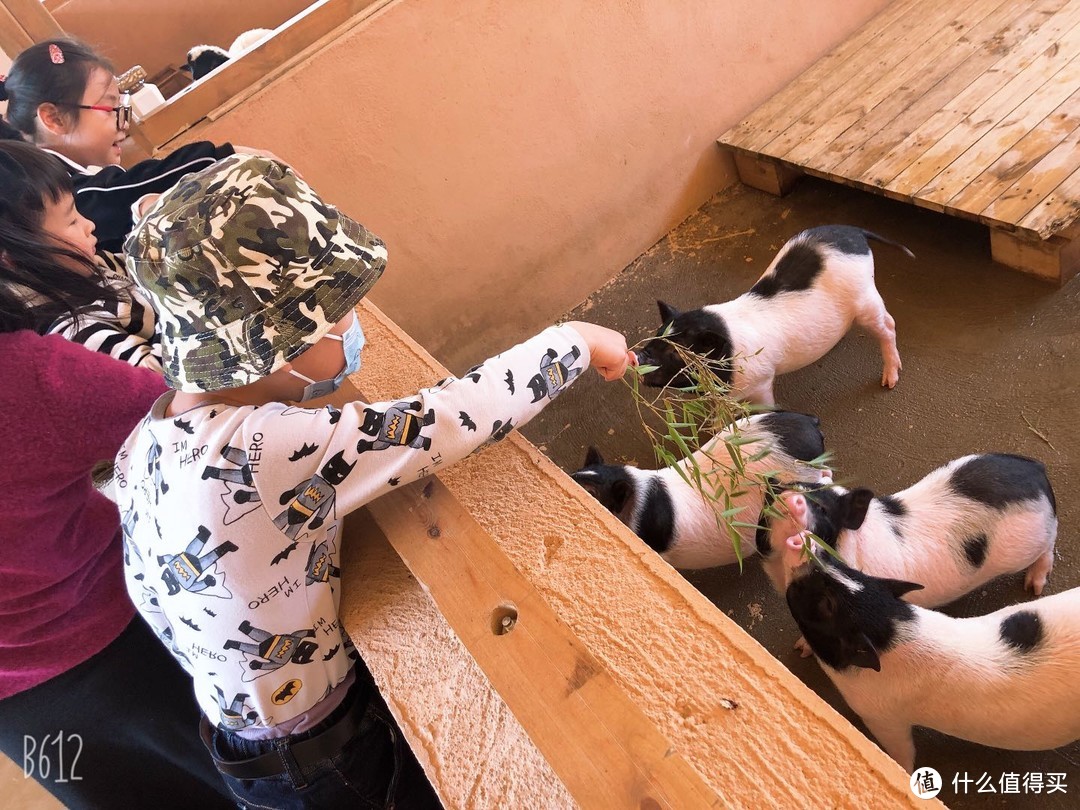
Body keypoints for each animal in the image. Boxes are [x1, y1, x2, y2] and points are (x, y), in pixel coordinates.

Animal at [635, 225, 907, 406]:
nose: (639, 355)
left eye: (677, 352)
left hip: (865, 296)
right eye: (657, 336)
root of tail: (854, 232)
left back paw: (889, 381)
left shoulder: (761, 382)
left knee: (889, 325)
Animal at [760, 453, 1054, 639]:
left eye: (822, 508)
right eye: (780, 490)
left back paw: (1034, 586)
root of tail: (1038, 473)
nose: (792, 497)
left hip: (1028, 545)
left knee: (1048, 545)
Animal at [781, 535, 1080, 777]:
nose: (809, 549)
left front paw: (898, 769)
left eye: (826, 605)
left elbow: (901, 751)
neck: (889, 626)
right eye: (856, 572)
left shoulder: (882, 717)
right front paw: (800, 648)